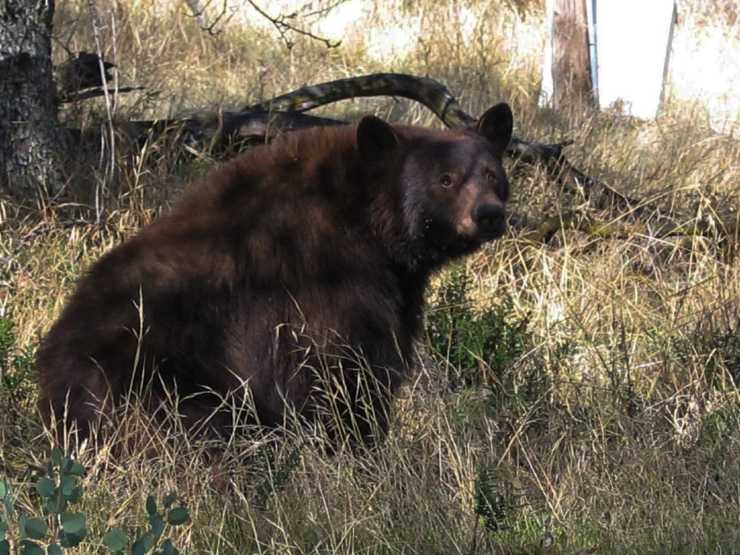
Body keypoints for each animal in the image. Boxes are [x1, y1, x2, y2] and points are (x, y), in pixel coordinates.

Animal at [37, 103, 516, 448]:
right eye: (445, 180)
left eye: (493, 174)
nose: (489, 214)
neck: (368, 224)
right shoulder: (329, 295)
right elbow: (347, 382)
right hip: (166, 385)